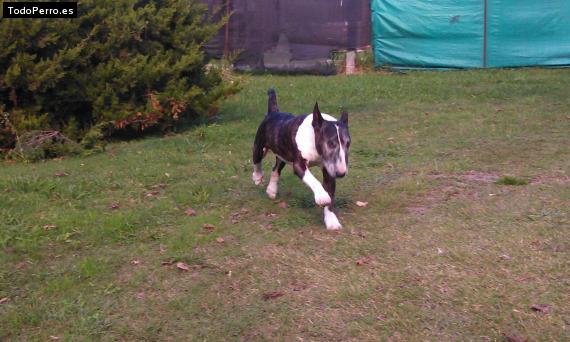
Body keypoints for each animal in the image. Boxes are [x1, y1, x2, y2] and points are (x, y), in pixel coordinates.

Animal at [251, 89, 348, 231]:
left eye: (348, 143)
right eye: (330, 143)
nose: (341, 173)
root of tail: (273, 112)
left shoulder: (328, 168)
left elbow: (330, 191)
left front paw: (331, 221)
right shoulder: (299, 164)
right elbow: (313, 179)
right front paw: (322, 196)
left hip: (283, 153)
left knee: (276, 169)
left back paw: (271, 190)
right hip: (260, 146)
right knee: (257, 160)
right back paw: (258, 177)